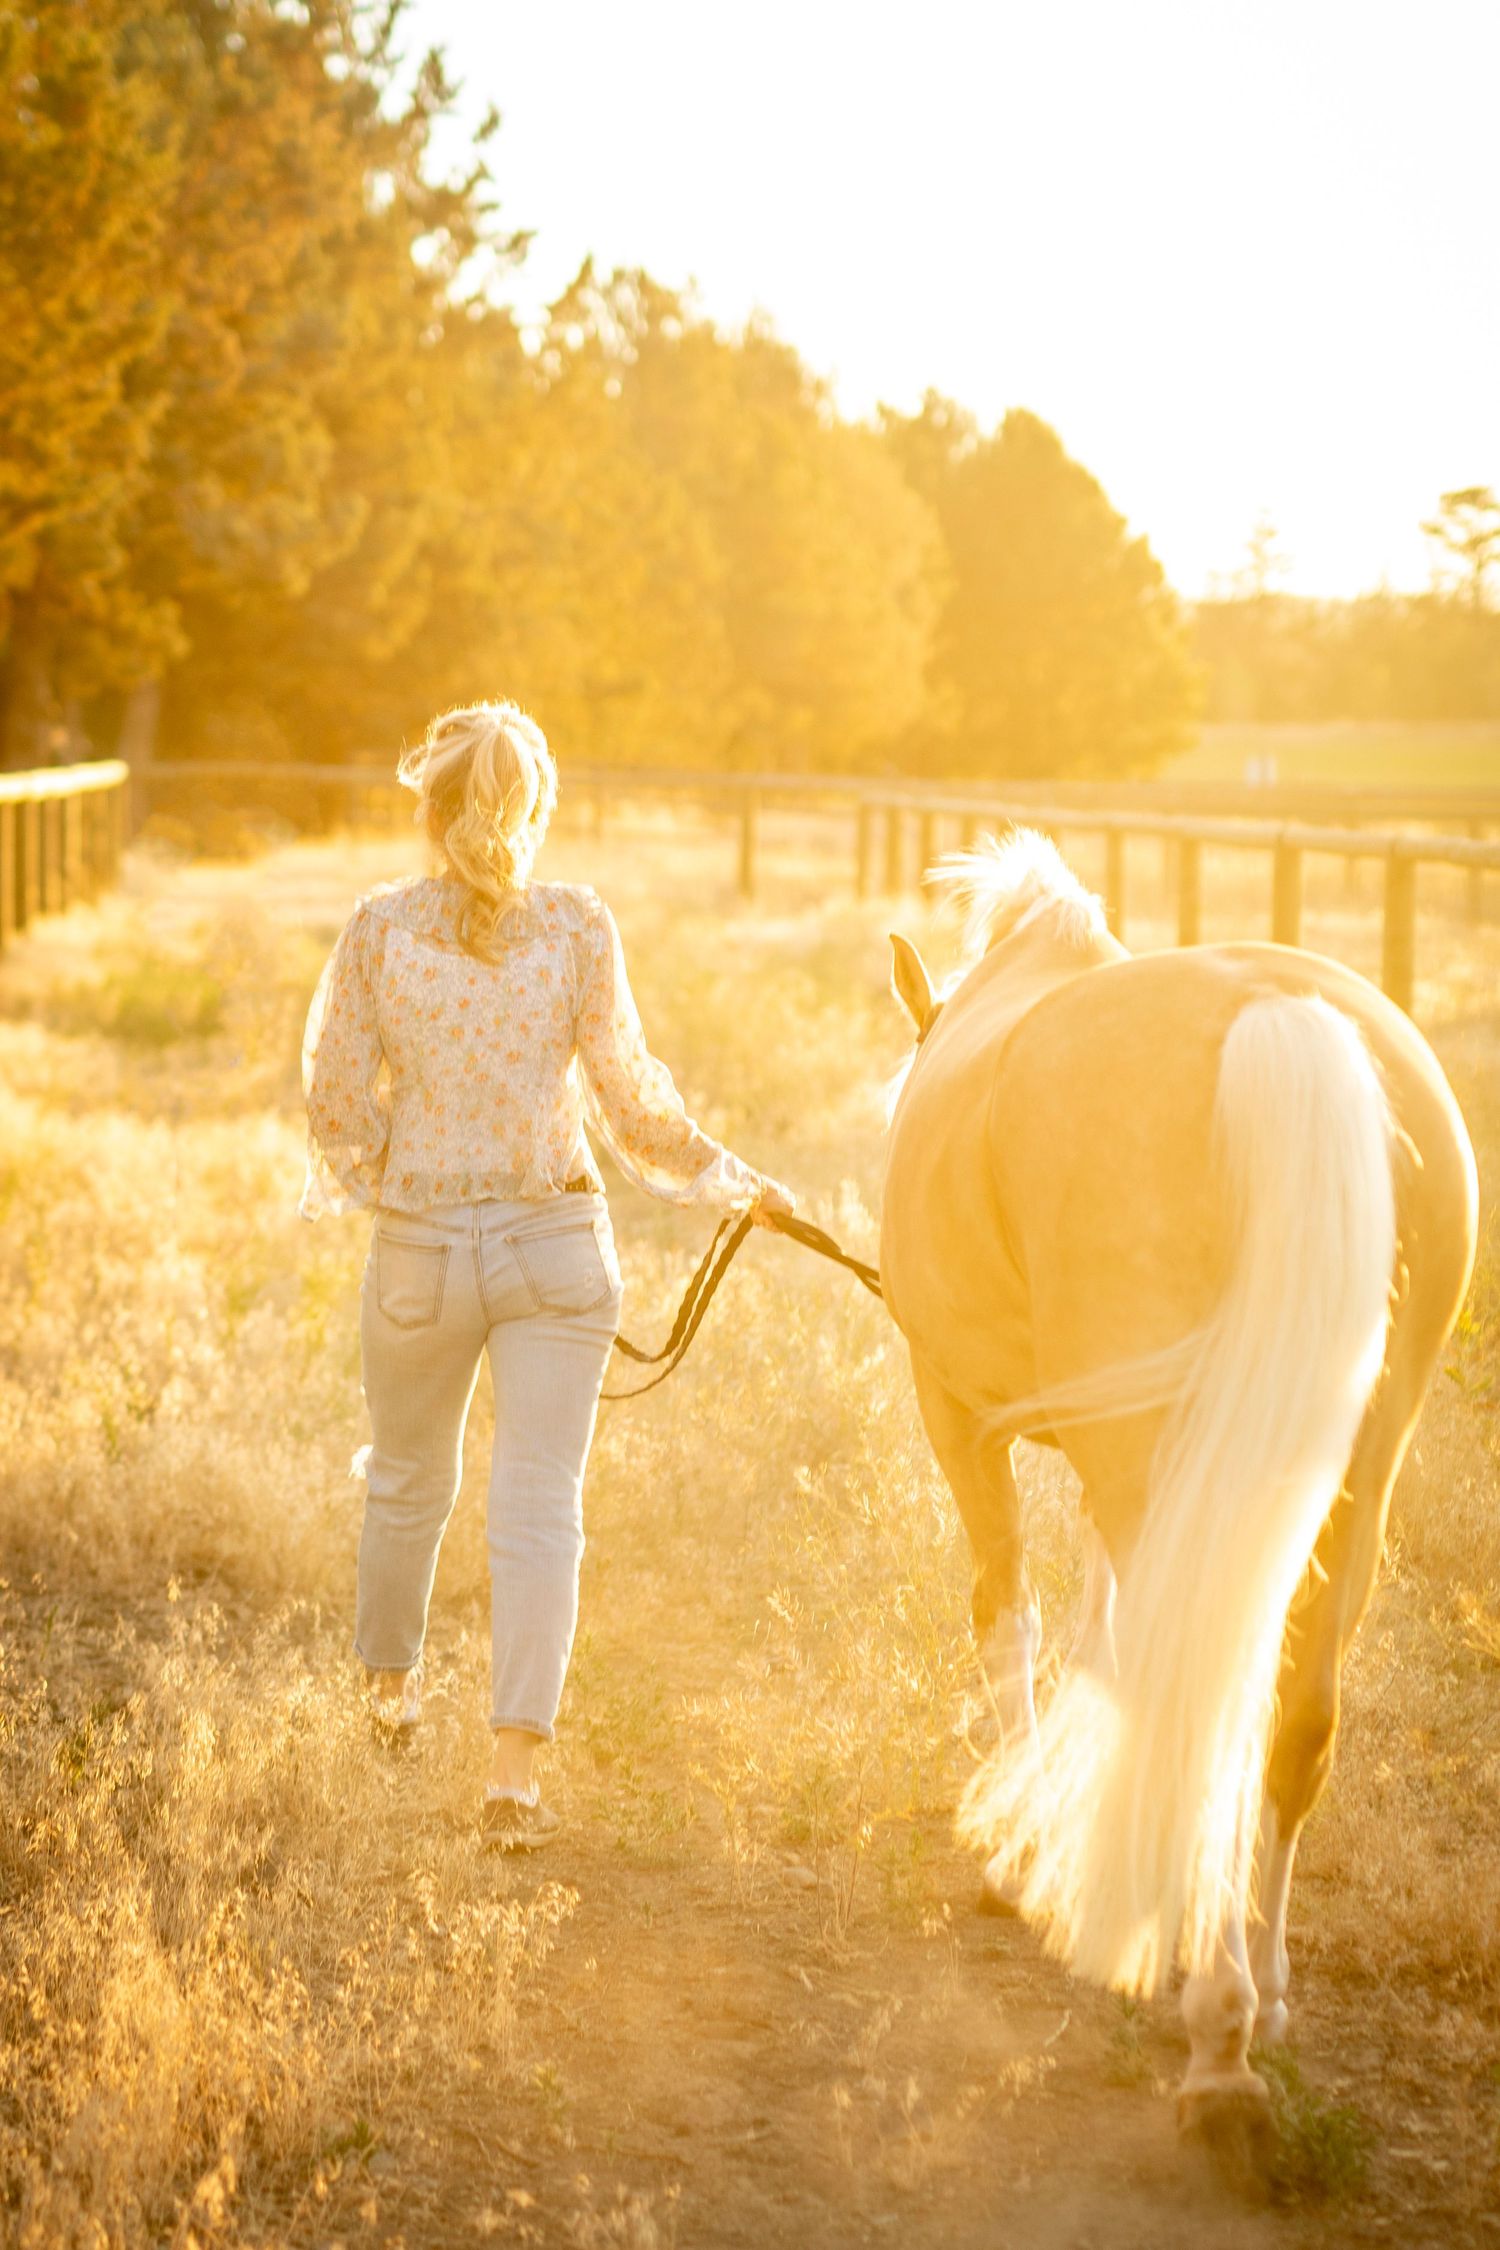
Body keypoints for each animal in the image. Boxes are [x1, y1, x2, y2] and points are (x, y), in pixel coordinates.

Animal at [879, 828, 1477, 2149]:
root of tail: (1280, 1015)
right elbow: (1100, 1639)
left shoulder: (960, 1416)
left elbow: (1013, 1616)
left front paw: (1019, 1858)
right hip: (1341, 1483)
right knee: (1289, 1713)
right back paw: (1263, 1988)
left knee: (1204, 1695)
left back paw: (1212, 2029)